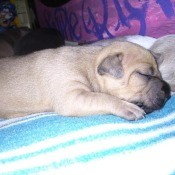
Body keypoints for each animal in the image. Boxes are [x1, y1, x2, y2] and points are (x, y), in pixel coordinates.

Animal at [0, 41, 170, 120]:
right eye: (144, 74)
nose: (167, 91)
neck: (91, 65)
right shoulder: (71, 97)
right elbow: (103, 98)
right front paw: (128, 108)